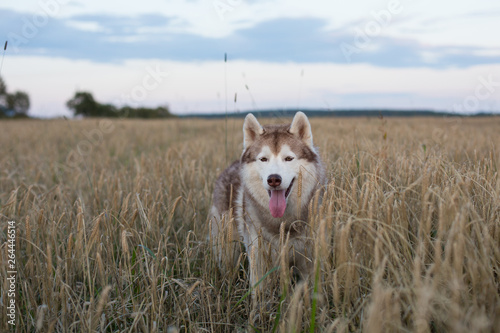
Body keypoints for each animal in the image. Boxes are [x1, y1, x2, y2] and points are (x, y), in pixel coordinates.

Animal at [209, 110, 326, 290]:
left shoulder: (309, 260)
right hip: (227, 248)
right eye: (263, 159)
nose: (274, 179)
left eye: (289, 158)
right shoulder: (258, 259)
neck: (282, 222)